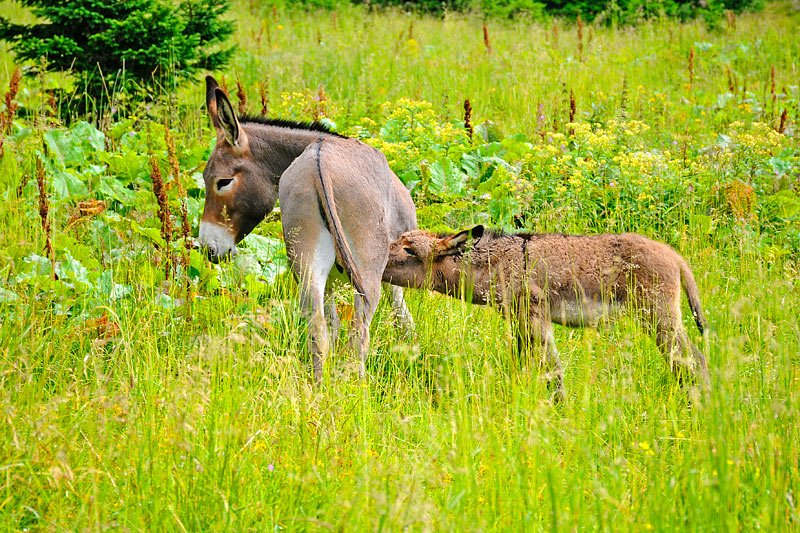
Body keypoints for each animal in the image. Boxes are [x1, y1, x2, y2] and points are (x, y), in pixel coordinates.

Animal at [384, 225, 708, 404]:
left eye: (410, 250)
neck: (497, 263)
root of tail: (674, 255)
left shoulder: (535, 317)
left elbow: (553, 372)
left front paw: (560, 411)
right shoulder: (520, 322)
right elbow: (525, 365)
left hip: (659, 317)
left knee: (693, 359)